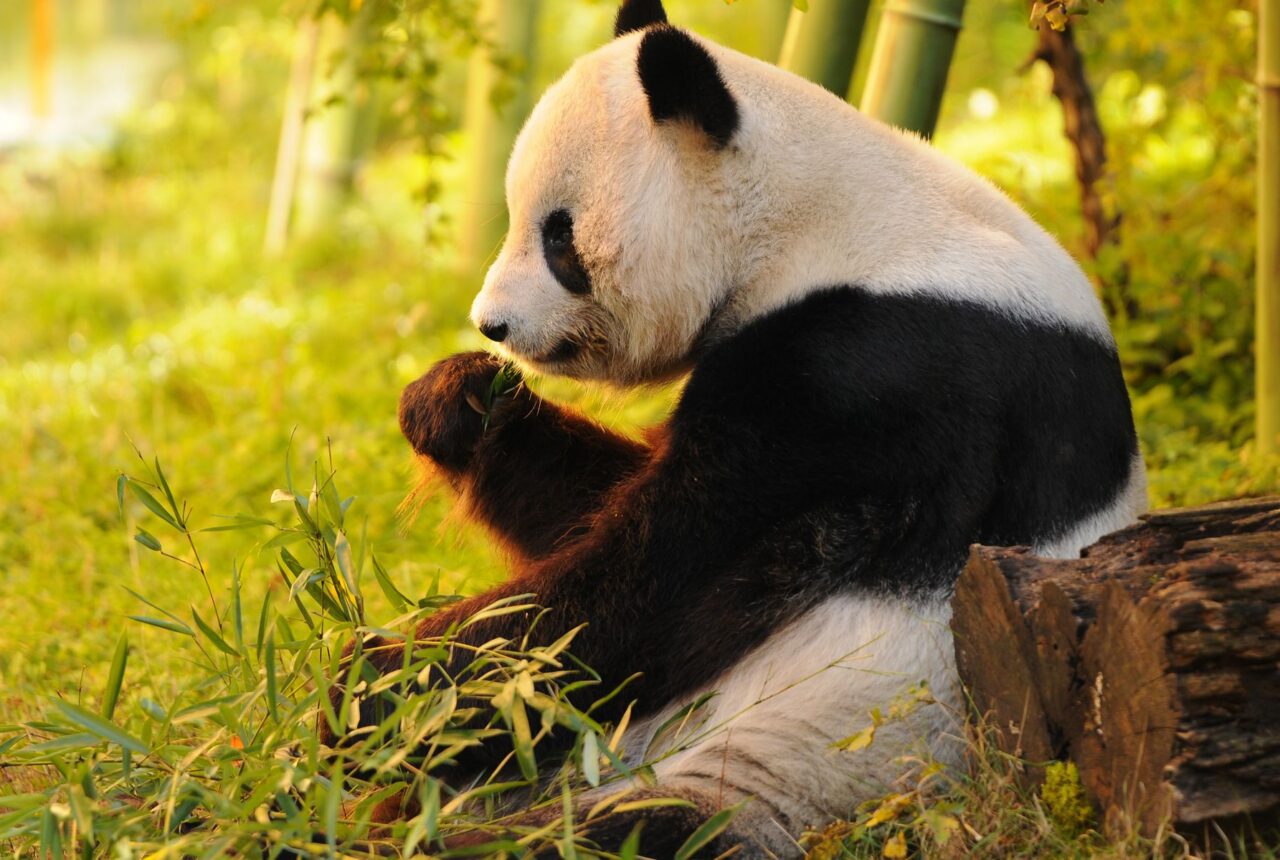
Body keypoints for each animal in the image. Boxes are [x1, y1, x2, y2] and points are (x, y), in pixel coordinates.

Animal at [328, 0, 1147, 854]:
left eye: (559, 238)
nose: (493, 324)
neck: (818, 219)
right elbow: (597, 512)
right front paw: (456, 402)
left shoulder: (874, 370)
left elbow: (658, 585)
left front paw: (371, 688)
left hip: (802, 771)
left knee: (632, 828)